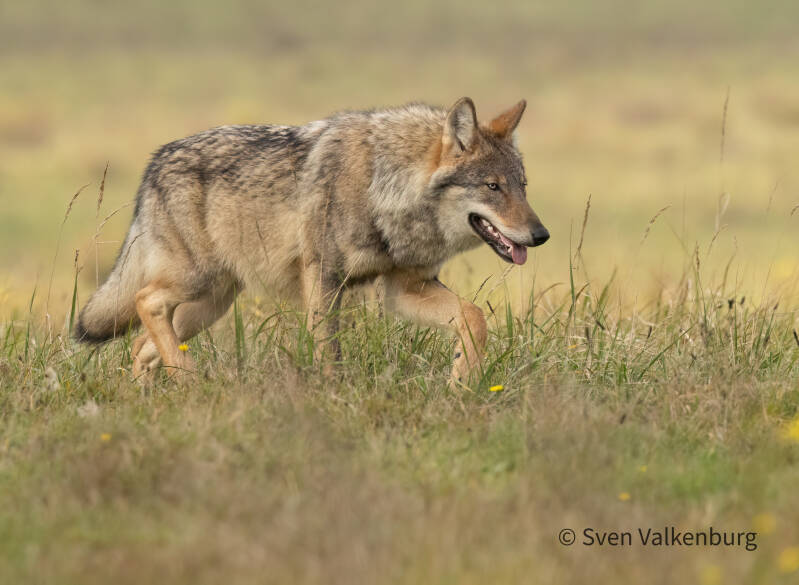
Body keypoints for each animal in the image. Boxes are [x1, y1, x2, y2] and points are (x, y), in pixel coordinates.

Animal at [74, 97, 549, 383]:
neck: (385, 186)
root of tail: (155, 163)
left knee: (141, 345)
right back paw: (187, 377)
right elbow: (328, 352)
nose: (540, 235)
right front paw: (333, 398)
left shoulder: (405, 289)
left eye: (523, 186)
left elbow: (474, 317)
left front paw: (463, 381)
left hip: (210, 304)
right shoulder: (323, 278)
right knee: (146, 303)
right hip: (196, 284)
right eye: (493, 187)